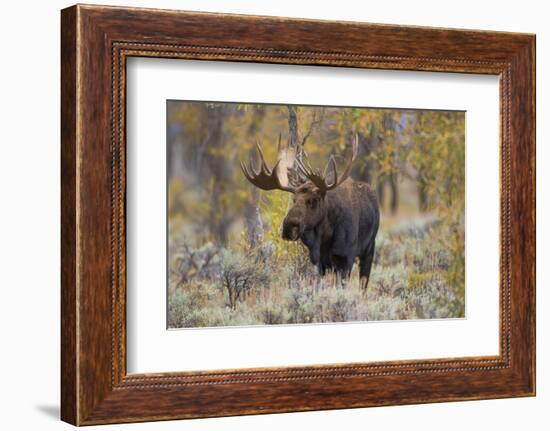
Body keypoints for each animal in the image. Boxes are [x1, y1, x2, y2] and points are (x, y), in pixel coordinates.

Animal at [244, 135, 382, 290]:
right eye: (294, 199)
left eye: (313, 200)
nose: (289, 227)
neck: (325, 237)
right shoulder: (322, 262)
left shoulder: (346, 257)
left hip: (369, 249)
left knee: (364, 283)